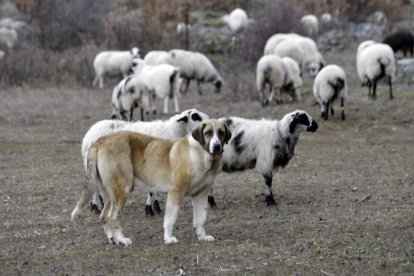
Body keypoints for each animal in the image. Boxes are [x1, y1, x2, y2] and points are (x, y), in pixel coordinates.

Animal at [81, 109, 210, 215]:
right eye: (195, 116)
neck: (173, 131)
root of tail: (90, 132)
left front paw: (156, 207)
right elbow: (151, 190)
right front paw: (149, 209)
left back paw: (100, 205)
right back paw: (95, 207)